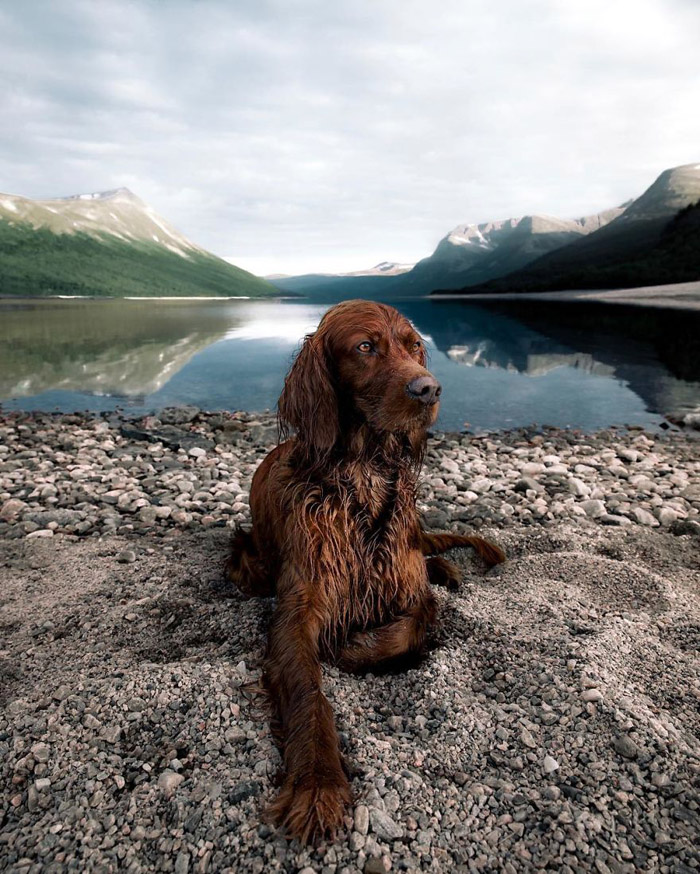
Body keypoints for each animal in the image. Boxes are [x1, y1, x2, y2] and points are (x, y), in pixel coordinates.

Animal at [227, 298, 506, 836]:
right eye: (364, 347)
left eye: (414, 345)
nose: (429, 388)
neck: (362, 479)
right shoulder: (299, 608)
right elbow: (308, 691)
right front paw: (318, 784)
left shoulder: (405, 582)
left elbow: (415, 622)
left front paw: (354, 647)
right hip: (248, 560)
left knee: (431, 555)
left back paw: (451, 571)